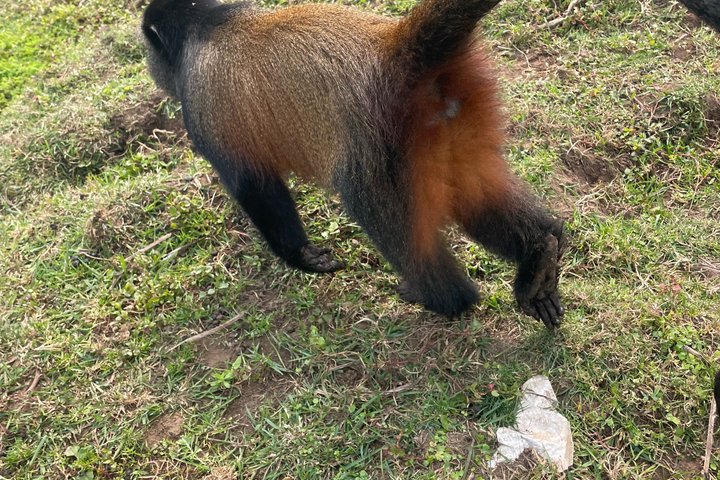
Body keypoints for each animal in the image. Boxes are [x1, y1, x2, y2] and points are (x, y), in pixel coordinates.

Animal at [141, 0, 566, 327]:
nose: (151, 67)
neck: (208, 22)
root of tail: (393, 52)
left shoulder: (200, 106)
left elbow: (255, 186)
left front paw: (303, 257)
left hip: (382, 153)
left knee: (382, 217)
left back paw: (444, 298)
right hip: (458, 120)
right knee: (478, 195)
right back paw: (540, 253)